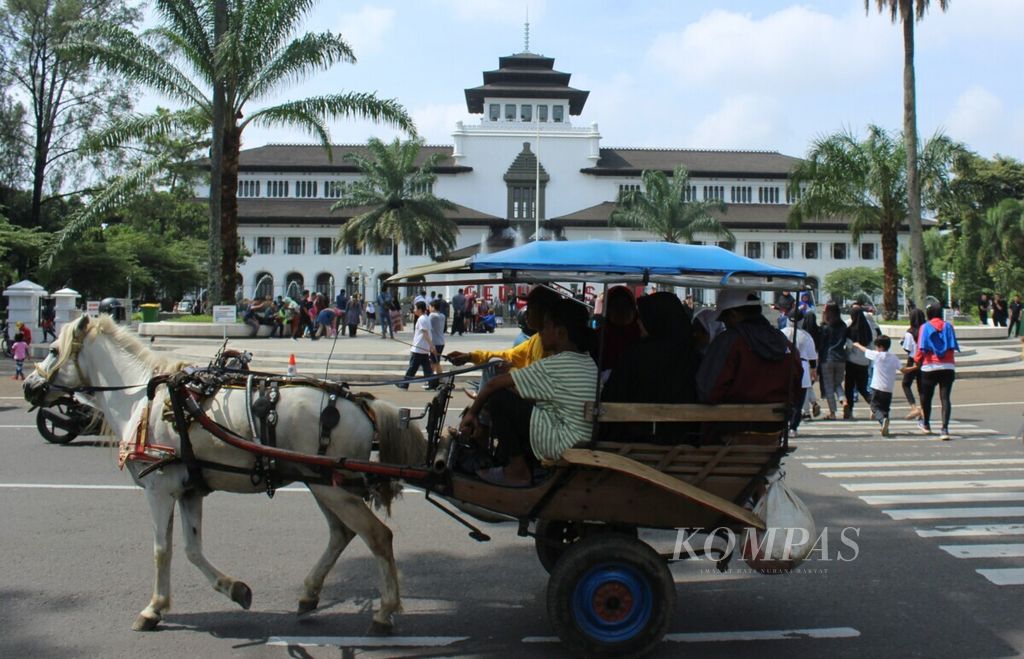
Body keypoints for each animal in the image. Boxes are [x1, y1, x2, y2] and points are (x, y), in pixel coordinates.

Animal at [24, 315, 423, 634]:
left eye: (53, 350)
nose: (29, 386)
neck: (141, 397)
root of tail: (363, 406)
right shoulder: (189, 489)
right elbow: (191, 549)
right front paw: (236, 590)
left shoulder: (158, 488)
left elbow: (162, 549)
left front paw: (153, 609)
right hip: (323, 483)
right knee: (342, 533)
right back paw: (310, 594)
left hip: (332, 486)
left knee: (378, 536)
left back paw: (384, 614)